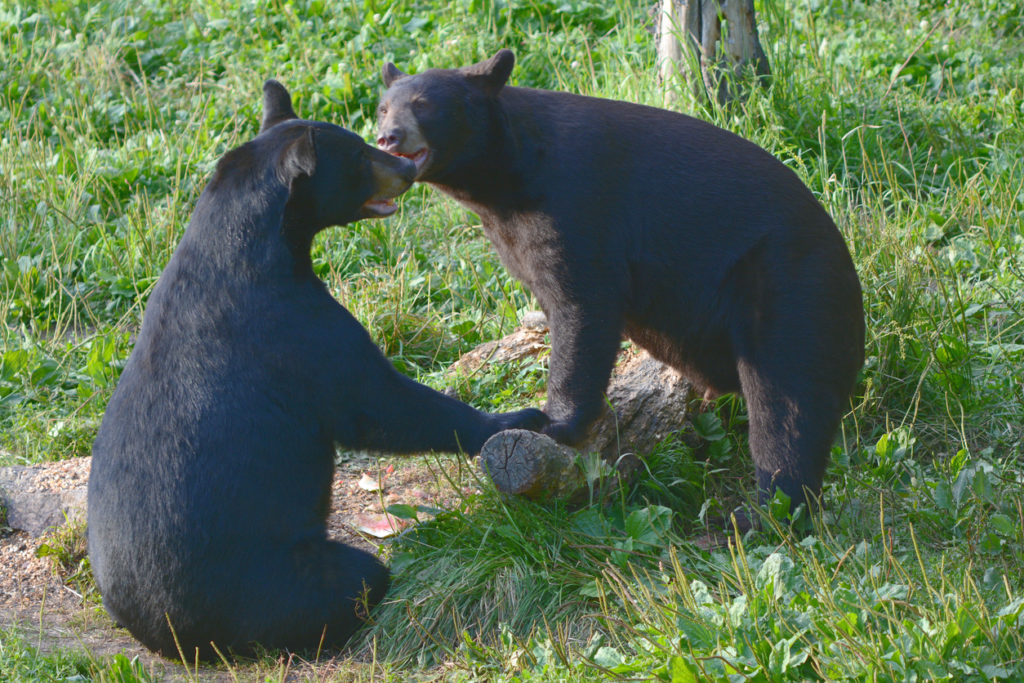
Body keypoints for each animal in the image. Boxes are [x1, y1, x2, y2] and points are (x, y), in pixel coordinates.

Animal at [89, 80, 548, 663]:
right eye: (359, 155)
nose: (405, 167)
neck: (262, 246)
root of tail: (167, 636)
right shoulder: (298, 329)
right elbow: (375, 402)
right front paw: (518, 417)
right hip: (272, 580)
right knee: (357, 578)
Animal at [376, 50, 864, 516]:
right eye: (383, 108)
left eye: (423, 104)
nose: (387, 137)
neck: (508, 178)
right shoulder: (515, 236)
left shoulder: (577, 204)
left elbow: (583, 305)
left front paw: (556, 421)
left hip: (788, 287)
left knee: (787, 403)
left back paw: (766, 510)